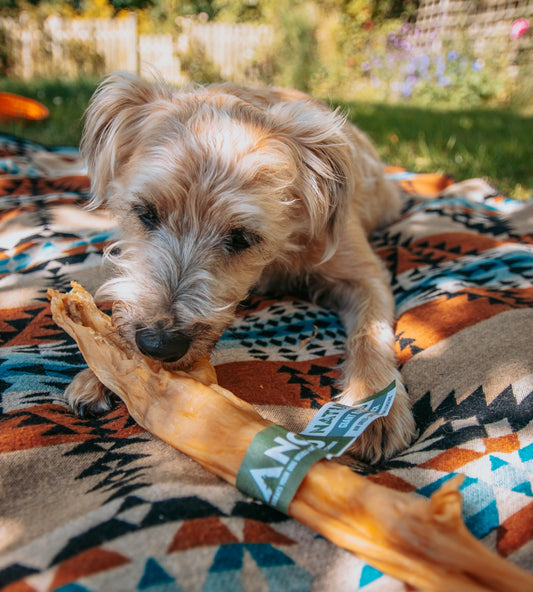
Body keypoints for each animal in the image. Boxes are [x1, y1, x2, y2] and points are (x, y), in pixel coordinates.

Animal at [67, 73, 416, 462]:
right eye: (145, 213)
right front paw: (102, 366)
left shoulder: (364, 274)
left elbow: (370, 333)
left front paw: (371, 408)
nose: (158, 345)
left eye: (241, 237)